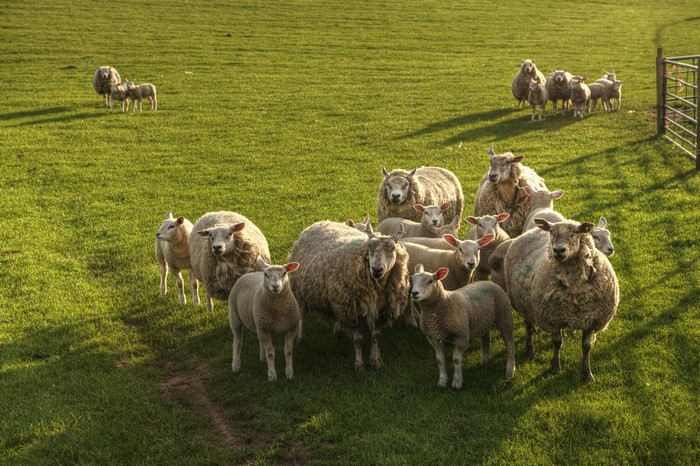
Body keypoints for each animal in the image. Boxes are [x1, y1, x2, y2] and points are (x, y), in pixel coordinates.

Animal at [288, 221, 409, 371]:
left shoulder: (381, 312)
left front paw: (375, 361)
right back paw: (300, 337)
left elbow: (375, 337)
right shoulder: (352, 312)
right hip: (301, 290)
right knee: (302, 314)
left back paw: (339, 330)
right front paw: (359, 364)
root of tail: (319, 222)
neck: (377, 286)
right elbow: (358, 340)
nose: (377, 269)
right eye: (369, 247)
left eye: (392, 249)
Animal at [504, 219, 619, 381]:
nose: (558, 250)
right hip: (523, 304)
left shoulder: (592, 320)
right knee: (528, 325)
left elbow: (586, 347)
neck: (576, 288)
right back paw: (529, 348)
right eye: (552, 232)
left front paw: (587, 373)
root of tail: (532, 231)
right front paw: (555, 366)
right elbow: (557, 343)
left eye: (576, 232)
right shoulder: (552, 319)